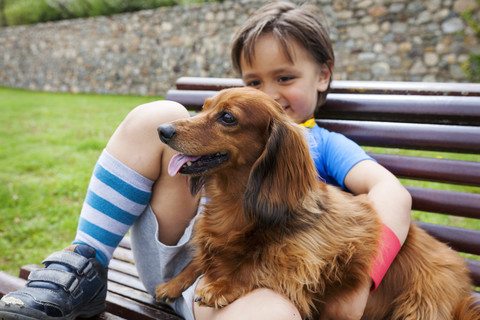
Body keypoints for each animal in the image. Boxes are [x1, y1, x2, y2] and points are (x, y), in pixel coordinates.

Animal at [156, 86, 478, 318]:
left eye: (227, 117)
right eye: (204, 106)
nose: (162, 130)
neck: (237, 202)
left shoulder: (308, 256)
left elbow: (260, 262)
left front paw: (223, 284)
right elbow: (204, 256)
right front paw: (175, 281)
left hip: (420, 304)